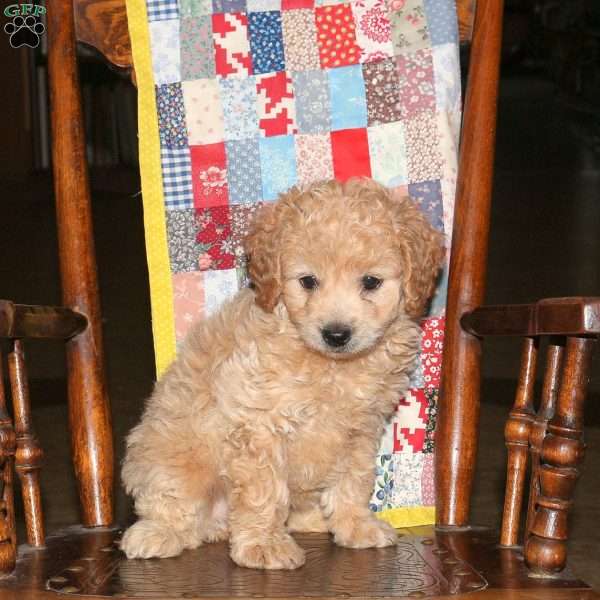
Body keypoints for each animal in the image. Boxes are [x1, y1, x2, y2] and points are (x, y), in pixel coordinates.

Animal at [120, 177, 446, 568]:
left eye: (370, 282)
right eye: (307, 281)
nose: (336, 334)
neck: (330, 365)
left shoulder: (359, 431)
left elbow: (352, 482)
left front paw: (355, 526)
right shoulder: (259, 426)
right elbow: (264, 493)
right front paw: (264, 544)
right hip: (175, 461)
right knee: (171, 504)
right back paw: (157, 534)